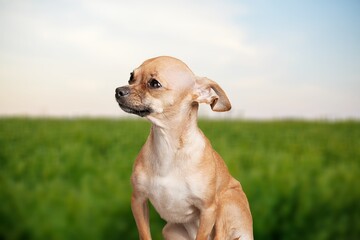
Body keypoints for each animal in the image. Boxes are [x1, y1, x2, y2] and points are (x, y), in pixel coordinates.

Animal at [115, 56, 253, 240]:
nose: (118, 90)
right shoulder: (138, 200)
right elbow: (145, 235)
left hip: (226, 202)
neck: (167, 145)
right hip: (170, 231)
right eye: (131, 77)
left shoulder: (208, 210)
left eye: (154, 83)